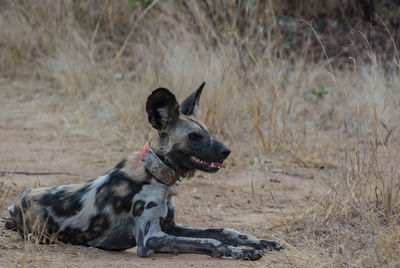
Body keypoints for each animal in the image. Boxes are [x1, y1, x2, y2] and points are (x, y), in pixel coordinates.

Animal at [5, 82, 282, 260]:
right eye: (194, 137)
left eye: (209, 132)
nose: (227, 151)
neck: (156, 173)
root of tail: (14, 203)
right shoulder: (151, 238)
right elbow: (211, 241)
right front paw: (242, 252)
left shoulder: (171, 226)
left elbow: (225, 231)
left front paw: (262, 242)